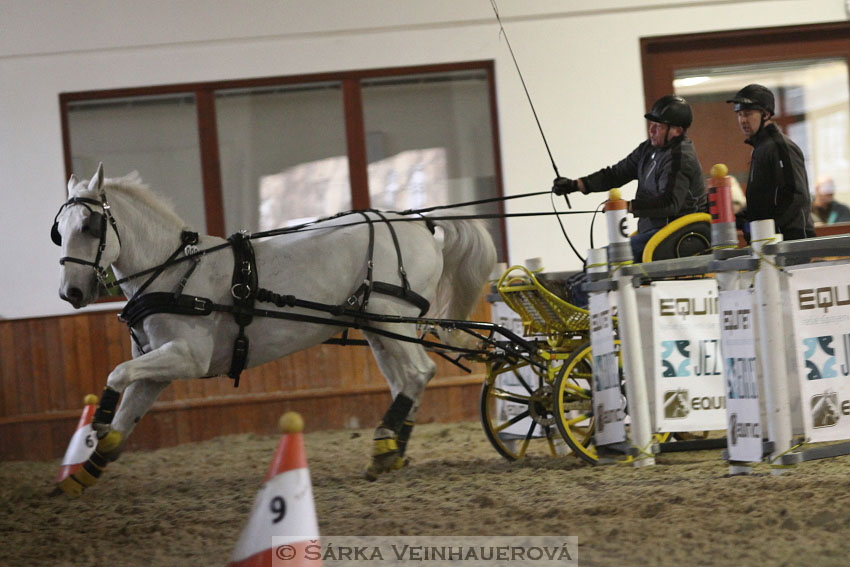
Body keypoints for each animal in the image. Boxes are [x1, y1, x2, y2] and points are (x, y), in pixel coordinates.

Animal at [49, 164, 494, 496]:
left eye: (90, 226)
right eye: (59, 230)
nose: (71, 292)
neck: (174, 271)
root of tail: (419, 222)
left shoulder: (187, 357)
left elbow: (115, 375)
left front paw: (97, 423)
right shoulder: (156, 369)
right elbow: (126, 417)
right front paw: (79, 477)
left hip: (389, 315)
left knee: (419, 372)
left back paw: (386, 442)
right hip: (378, 326)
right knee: (405, 380)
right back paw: (391, 450)